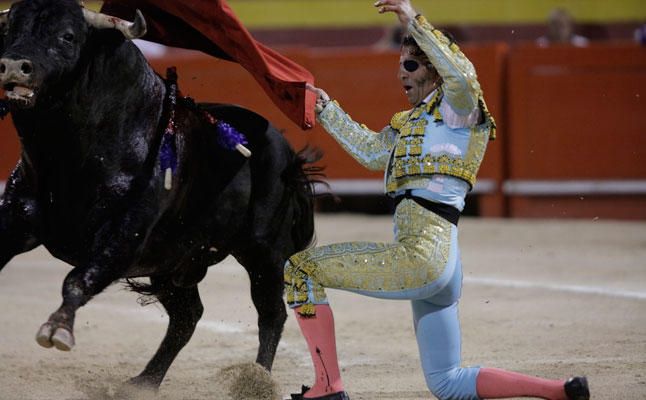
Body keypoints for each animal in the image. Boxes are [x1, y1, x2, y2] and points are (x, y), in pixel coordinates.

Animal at [0, 0, 320, 390]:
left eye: (68, 36)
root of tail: (285, 148)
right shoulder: (14, 221)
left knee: (270, 312)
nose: (14, 65)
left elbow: (77, 279)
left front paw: (57, 328)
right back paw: (145, 381)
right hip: (171, 264)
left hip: (264, 252)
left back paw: (256, 381)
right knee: (188, 316)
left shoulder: (123, 238)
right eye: (9, 30)